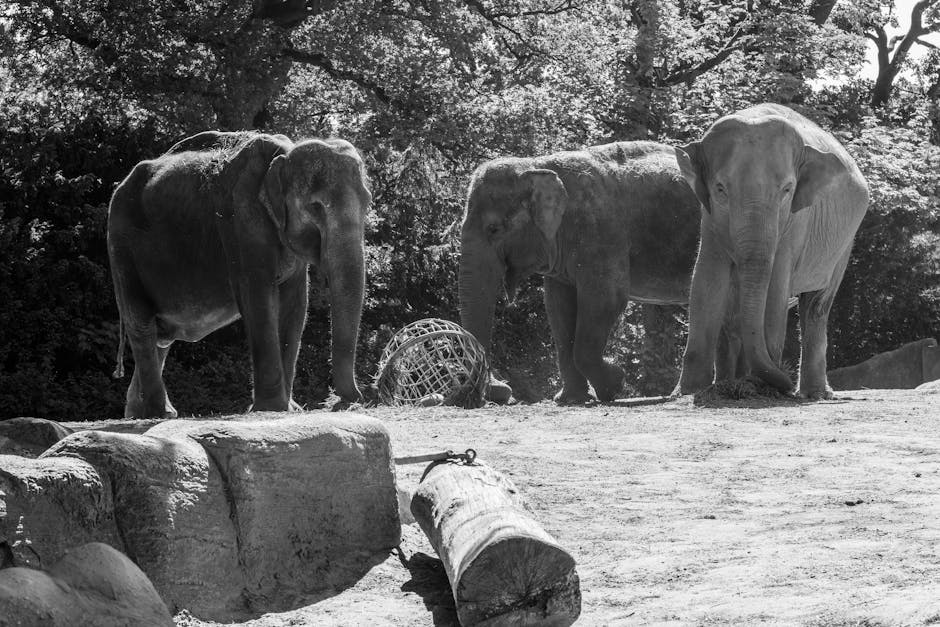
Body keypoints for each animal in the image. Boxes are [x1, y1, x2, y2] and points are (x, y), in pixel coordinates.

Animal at [108, 131, 371, 419]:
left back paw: (143, 413)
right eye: (315, 207)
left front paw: (291, 409)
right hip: (122, 249)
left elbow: (296, 306)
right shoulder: (241, 218)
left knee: (160, 338)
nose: (343, 402)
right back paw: (157, 413)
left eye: (368, 203)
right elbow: (257, 296)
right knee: (141, 324)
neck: (285, 152)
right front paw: (272, 408)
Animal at [458, 141, 704, 404]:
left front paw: (614, 384)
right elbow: (558, 307)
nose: (503, 390)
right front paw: (571, 399)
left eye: (494, 229)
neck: (535, 164)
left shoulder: (600, 231)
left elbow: (606, 299)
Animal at [674, 103, 869, 398]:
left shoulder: (796, 220)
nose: (784, 381)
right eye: (720, 189)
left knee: (816, 305)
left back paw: (814, 394)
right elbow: (705, 280)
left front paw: (761, 386)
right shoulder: (709, 217)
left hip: (846, 241)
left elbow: (776, 286)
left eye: (787, 189)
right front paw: (689, 391)